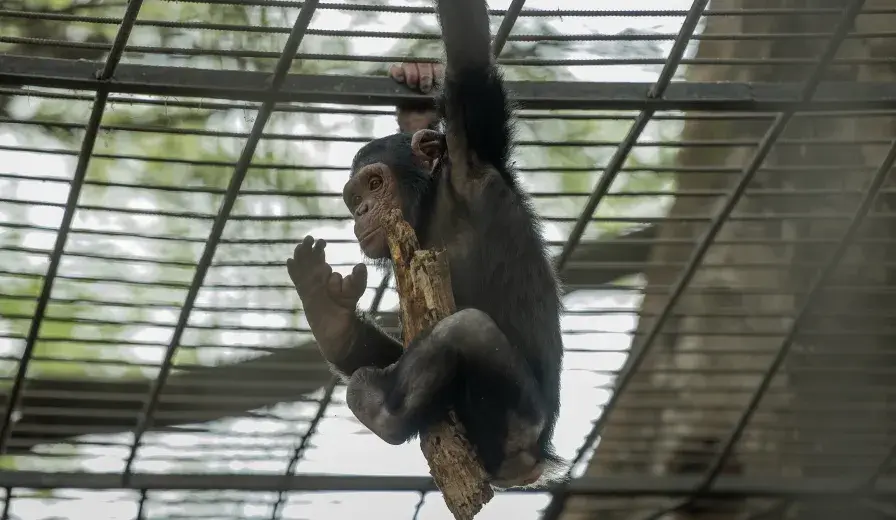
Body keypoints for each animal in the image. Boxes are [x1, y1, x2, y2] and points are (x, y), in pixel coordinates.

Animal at [286, 0, 565, 489]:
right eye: (354, 199)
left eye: (375, 184)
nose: (361, 211)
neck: (432, 203)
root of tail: (535, 464)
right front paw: (415, 88)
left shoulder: (473, 144)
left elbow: (468, 54)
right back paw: (330, 319)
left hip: (514, 430)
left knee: (467, 329)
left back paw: (379, 410)